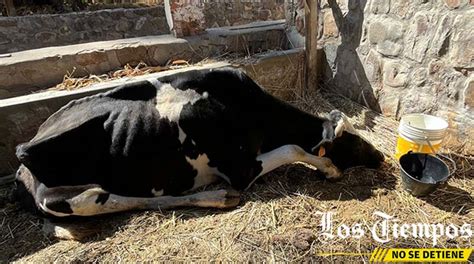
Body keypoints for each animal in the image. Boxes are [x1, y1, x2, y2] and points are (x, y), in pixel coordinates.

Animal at [13, 67, 386, 219]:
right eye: (353, 143)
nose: (381, 157)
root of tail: (23, 150)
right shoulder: (241, 169)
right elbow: (296, 149)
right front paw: (329, 168)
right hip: (71, 198)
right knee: (121, 200)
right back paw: (217, 197)